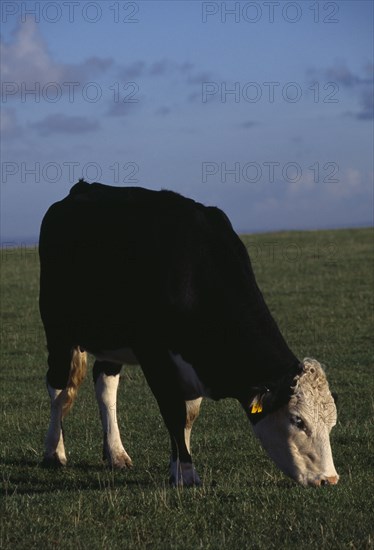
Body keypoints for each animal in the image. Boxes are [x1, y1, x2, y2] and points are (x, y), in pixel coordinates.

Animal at [38, 180, 338, 488]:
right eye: (298, 421)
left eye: (331, 423)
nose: (330, 478)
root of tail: (83, 188)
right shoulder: (154, 355)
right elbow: (173, 412)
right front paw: (186, 473)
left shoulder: (194, 360)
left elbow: (188, 417)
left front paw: (177, 467)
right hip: (57, 328)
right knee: (57, 388)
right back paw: (54, 452)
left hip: (111, 340)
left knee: (105, 386)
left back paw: (116, 453)